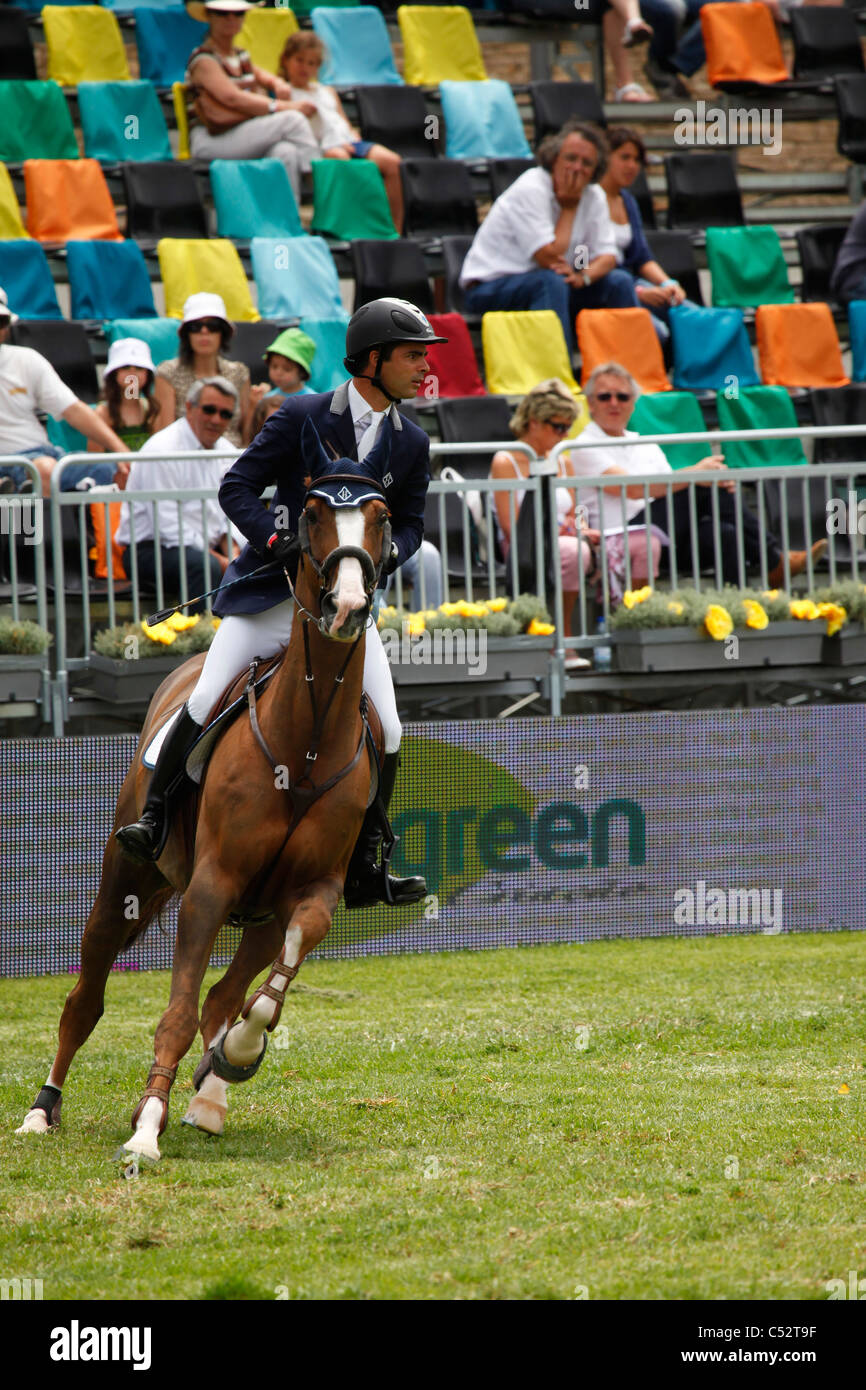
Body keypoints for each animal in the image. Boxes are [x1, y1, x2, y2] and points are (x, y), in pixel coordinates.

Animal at [16, 426, 393, 1161]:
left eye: (383, 517)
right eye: (311, 514)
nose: (347, 607)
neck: (304, 745)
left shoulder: (309, 894)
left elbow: (260, 989)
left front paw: (230, 1062)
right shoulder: (212, 886)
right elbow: (177, 1010)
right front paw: (145, 1136)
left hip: (257, 915)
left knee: (224, 993)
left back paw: (209, 1091)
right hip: (124, 881)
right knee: (85, 1000)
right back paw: (43, 1111)